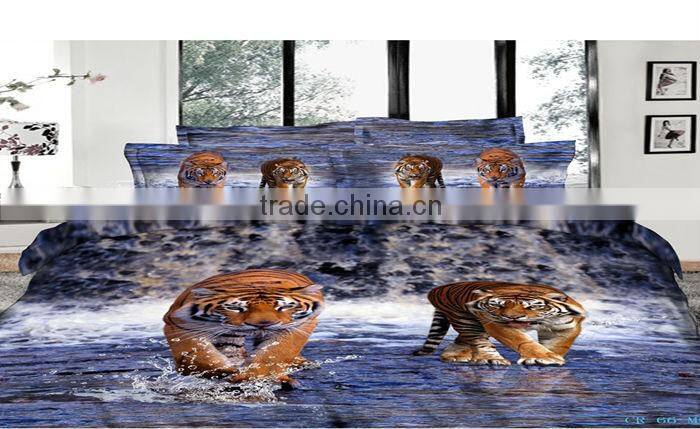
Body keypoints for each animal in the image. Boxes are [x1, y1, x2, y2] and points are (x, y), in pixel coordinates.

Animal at [163, 269, 323, 385]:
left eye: (283, 307)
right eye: (235, 308)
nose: (263, 324)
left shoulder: (300, 324)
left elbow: (276, 352)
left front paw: (256, 376)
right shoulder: (178, 322)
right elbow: (194, 353)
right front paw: (221, 371)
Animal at [414, 281, 585, 366]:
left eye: (531, 307)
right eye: (497, 305)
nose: (513, 317)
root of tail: (438, 289)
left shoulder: (565, 327)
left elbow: (558, 345)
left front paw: (546, 357)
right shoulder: (495, 322)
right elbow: (522, 341)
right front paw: (543, 357)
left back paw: (455, 355)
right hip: (465, 319)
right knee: (478, 341)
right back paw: (491, 359)